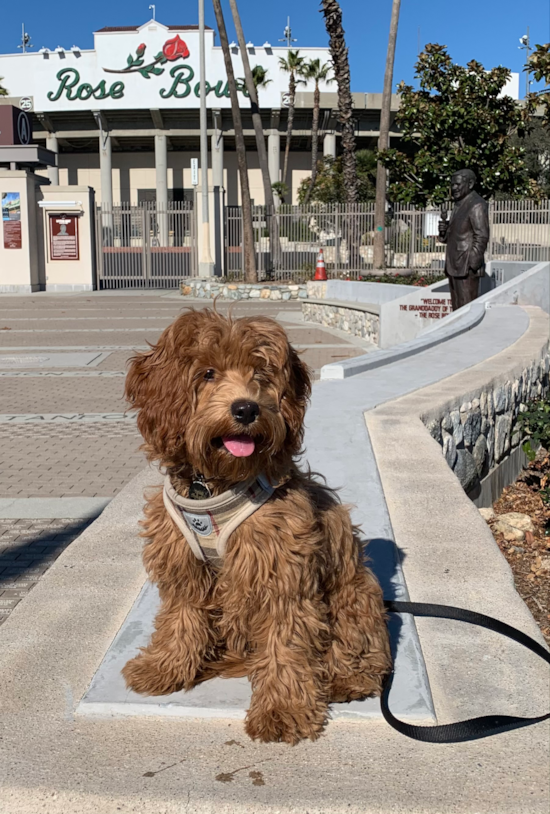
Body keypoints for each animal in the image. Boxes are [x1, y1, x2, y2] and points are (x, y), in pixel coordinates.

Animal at [123, 310, 394, 744]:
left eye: (261, 374)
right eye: (208, 373)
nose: (247, 409)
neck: (215, 484)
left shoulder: (282, 572)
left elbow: (285, 643)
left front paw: (282, 710)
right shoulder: (184, 567)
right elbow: (180, 618)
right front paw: (164, 667)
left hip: (355, 593)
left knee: (362, 650)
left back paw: (345, 679)